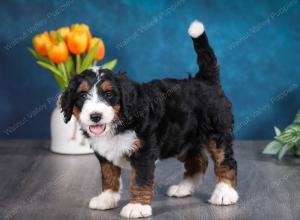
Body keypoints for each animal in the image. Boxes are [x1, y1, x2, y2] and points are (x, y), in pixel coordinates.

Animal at [61, 20, 238, 218]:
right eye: (82, 95)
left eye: (109, 94)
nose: (95, 116)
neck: (121, 122)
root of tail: (205, 80)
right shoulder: (105, 154)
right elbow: (108, 174)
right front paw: (106, 198)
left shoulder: (144, 152)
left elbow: (140, 179)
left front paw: (137, 206)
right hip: (181, 139)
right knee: (198, 162)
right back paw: (183, 188)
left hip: (217, 132)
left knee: (225, 161)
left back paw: (224, 193)